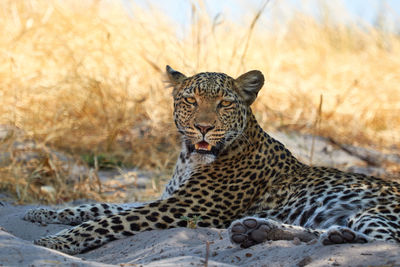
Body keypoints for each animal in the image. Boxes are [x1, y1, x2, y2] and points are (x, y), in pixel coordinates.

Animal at [23, 65, 398, 255]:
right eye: (190, 100)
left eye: (224, 103)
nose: (203, 127)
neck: (188, 158)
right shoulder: (169, 198)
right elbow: (99, 207)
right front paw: (42, 213)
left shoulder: (184, 207)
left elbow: (108, 220)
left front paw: (57, 242)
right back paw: (257, 230)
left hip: (372, 213)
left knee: (383, 242)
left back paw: (334, 237)